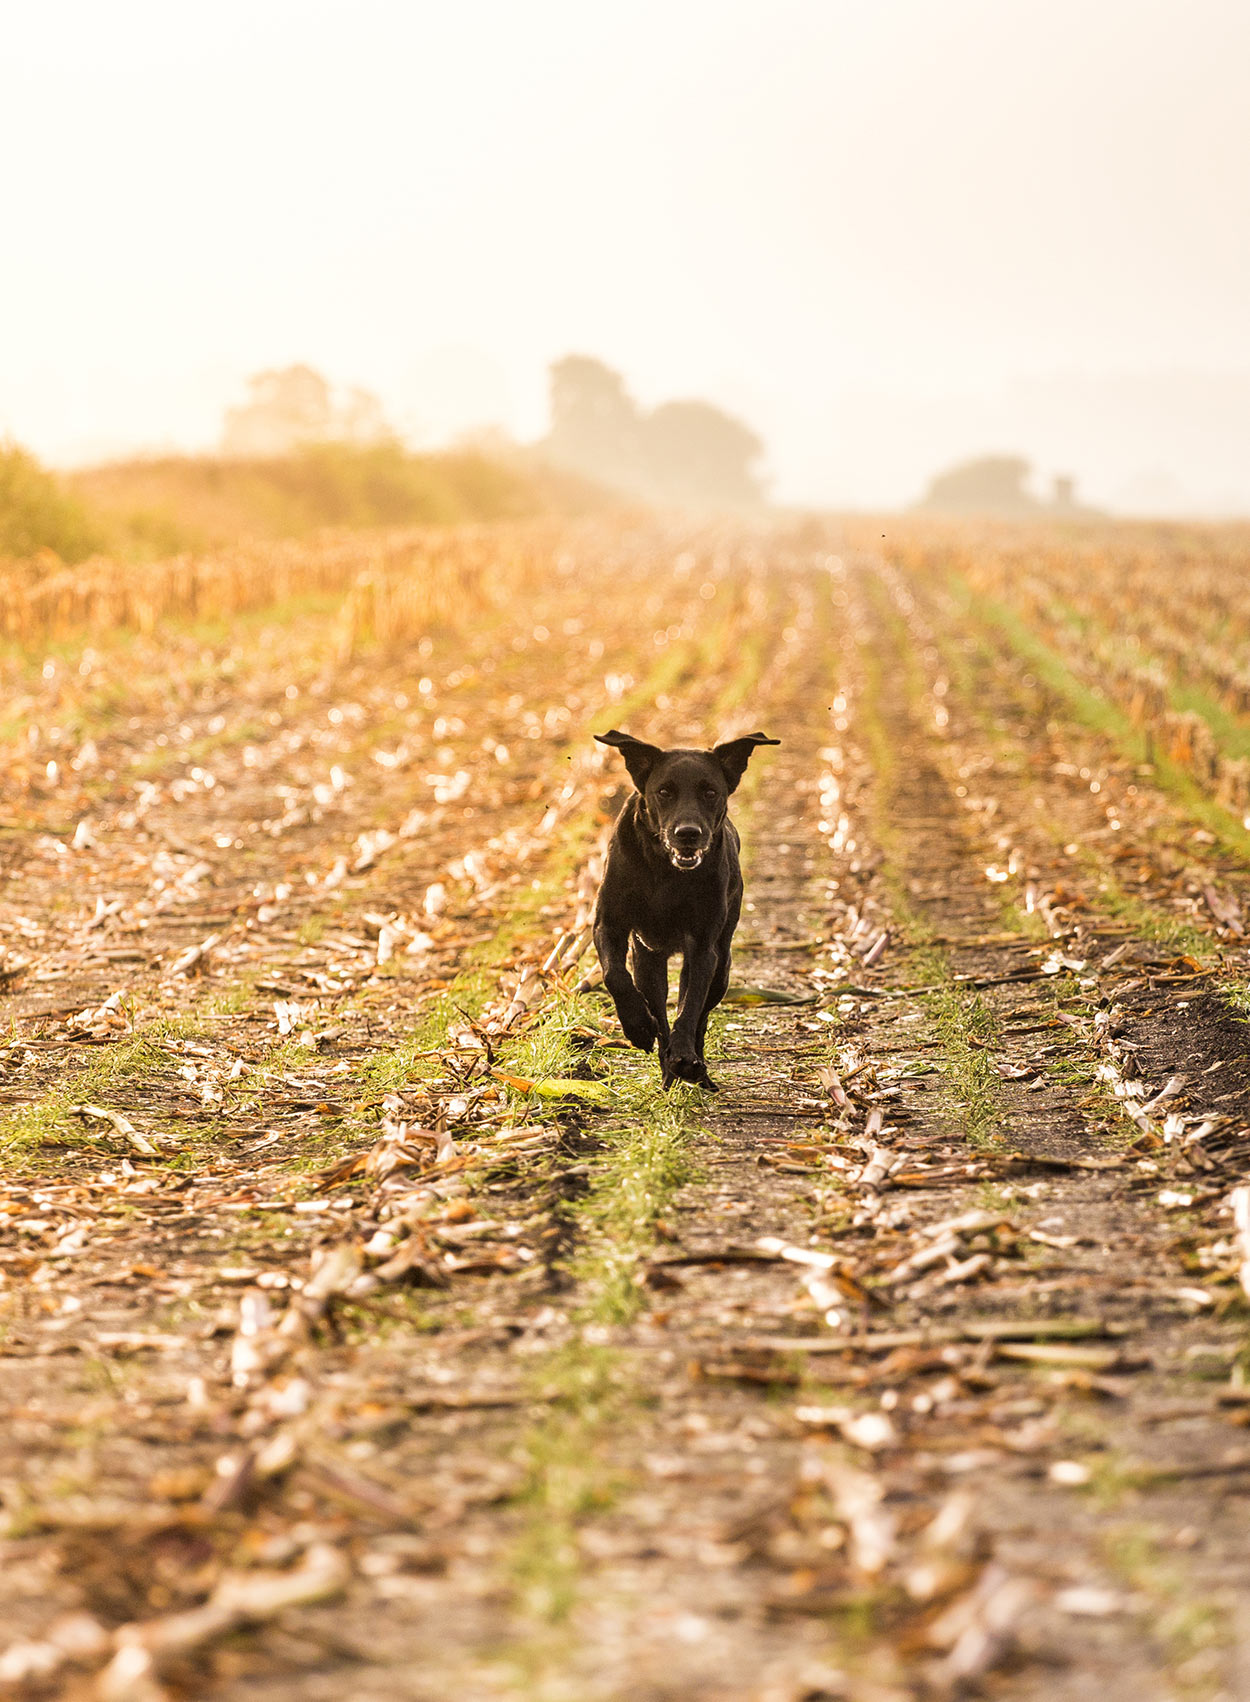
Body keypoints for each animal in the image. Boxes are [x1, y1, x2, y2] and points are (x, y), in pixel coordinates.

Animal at [592, 725, 779, 1082]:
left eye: (710, 792)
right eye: (664, 792)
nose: (688, 833)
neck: (666, 871)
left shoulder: (703, 947)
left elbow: (690, 1007)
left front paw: (684, 1056)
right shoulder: (610, 926)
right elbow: (615, 975)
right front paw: (638, 1027)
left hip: (722, 966)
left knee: (700, 1012)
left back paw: (692, 1065)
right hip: (648, 962)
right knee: (656, 1003)